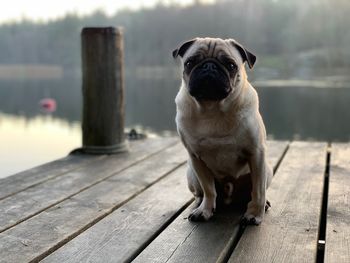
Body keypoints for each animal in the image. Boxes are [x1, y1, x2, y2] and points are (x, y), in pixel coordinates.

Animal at [174, 38, 272, 226]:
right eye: (190, 62)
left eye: (231, 65)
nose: (209, 66)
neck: (212, 108)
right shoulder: (196, 158)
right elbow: (209, 189)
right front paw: (205, 210)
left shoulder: (256, 153)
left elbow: (258, 191)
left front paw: (254, 214)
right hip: (192, 174)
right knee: (201, 192)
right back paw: (200, 203)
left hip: (267, 170)